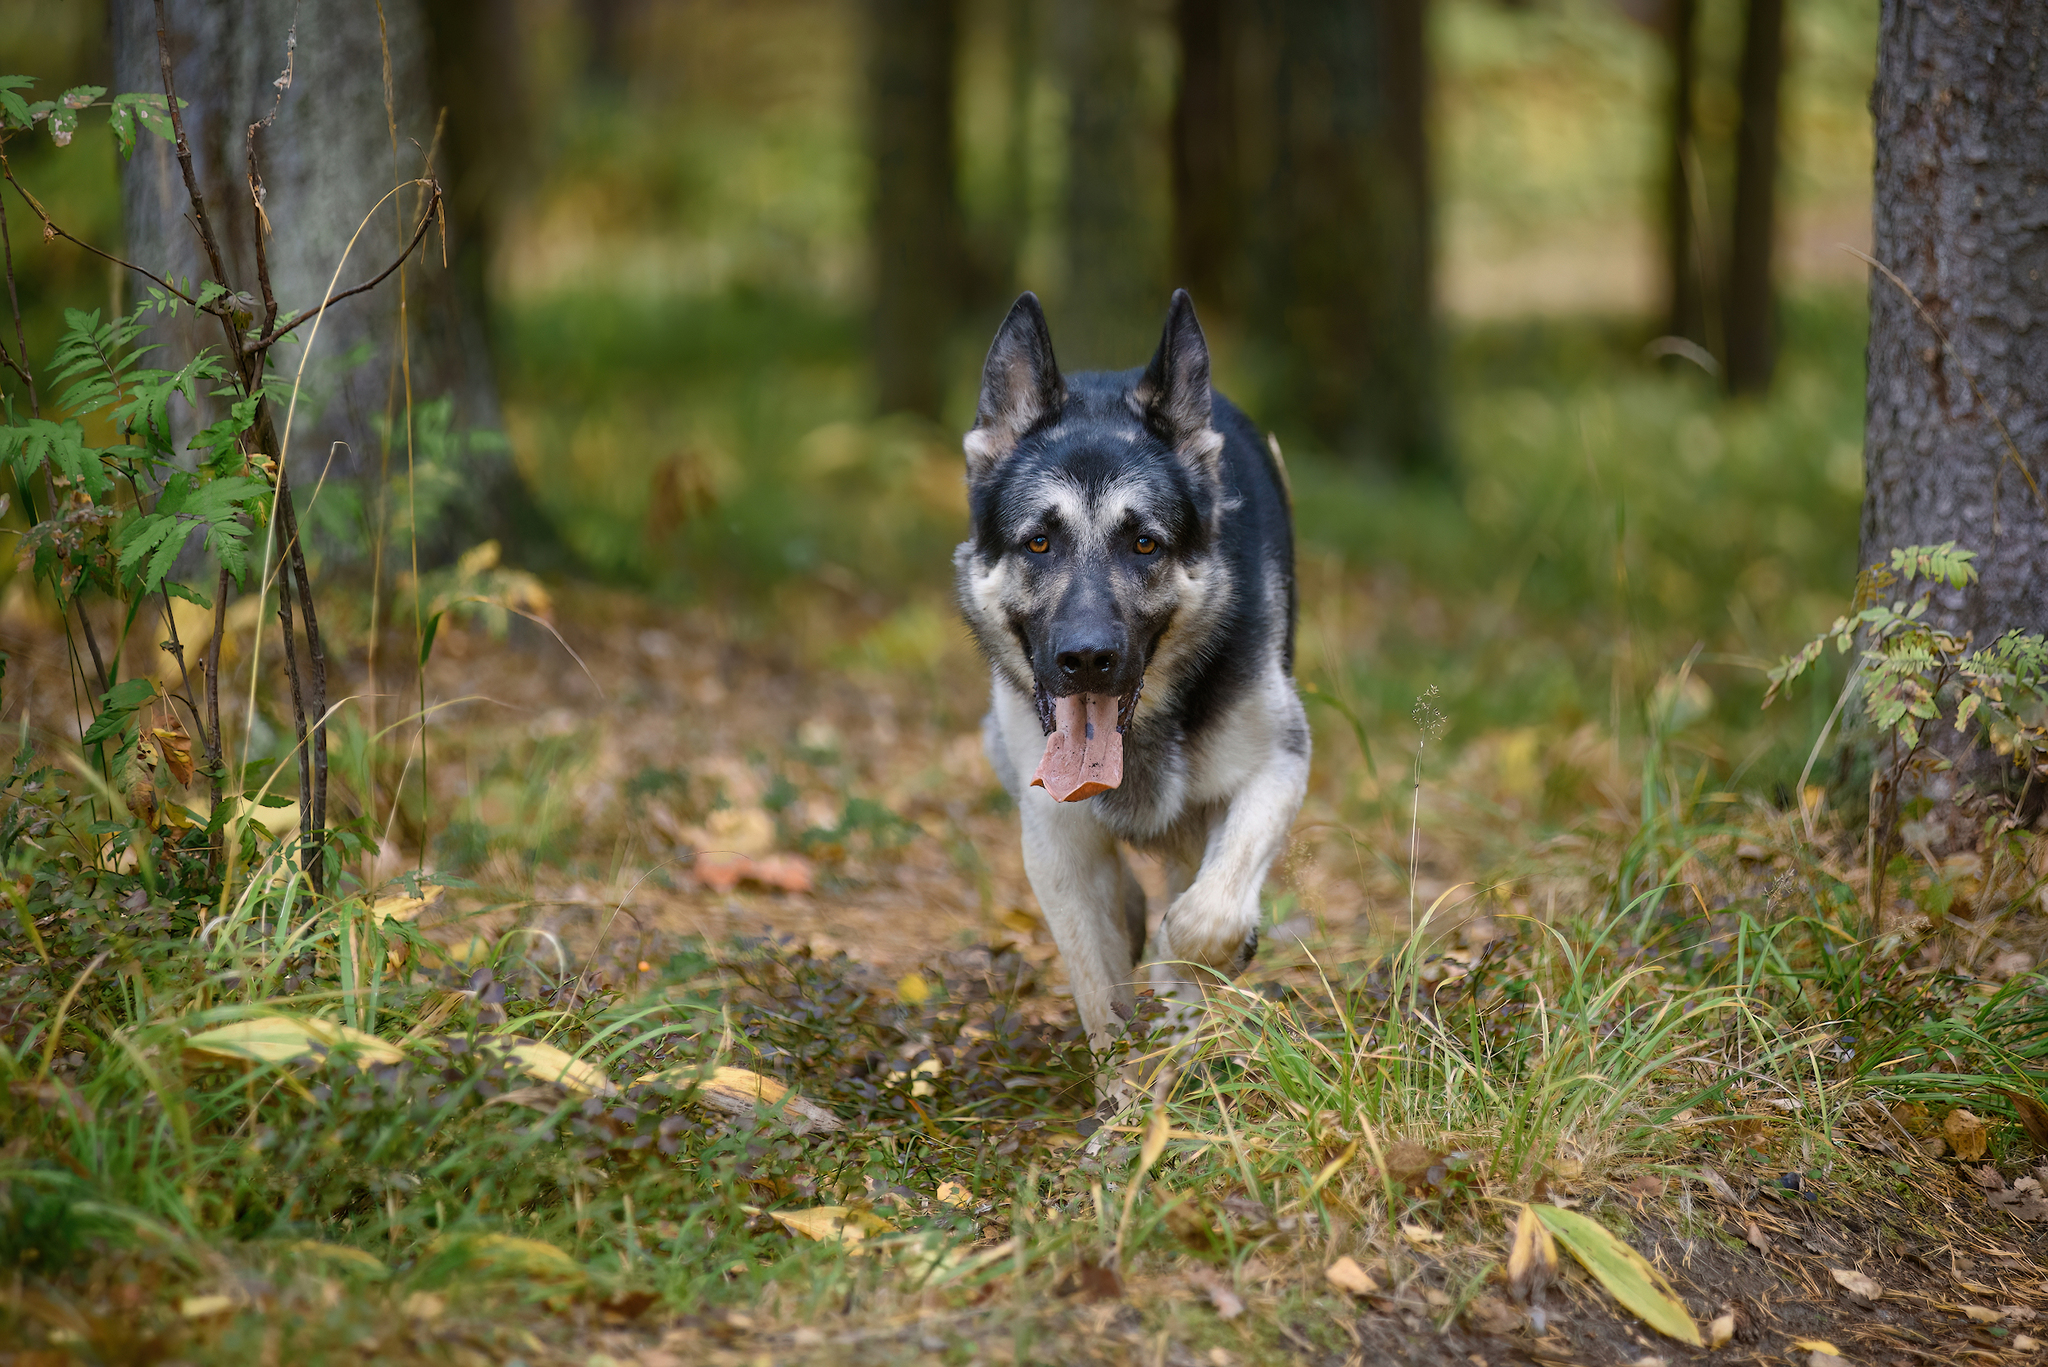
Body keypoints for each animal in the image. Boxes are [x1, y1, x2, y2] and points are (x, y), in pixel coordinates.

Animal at [950, 286, 1302, 1057]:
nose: (1086, 659)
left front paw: (1184, 985)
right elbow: (1097, 987)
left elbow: (1205, 918)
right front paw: (1127, 1070)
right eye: (1039, 542)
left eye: (1144, 544)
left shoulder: (1278, 766)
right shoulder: (1056, 836)